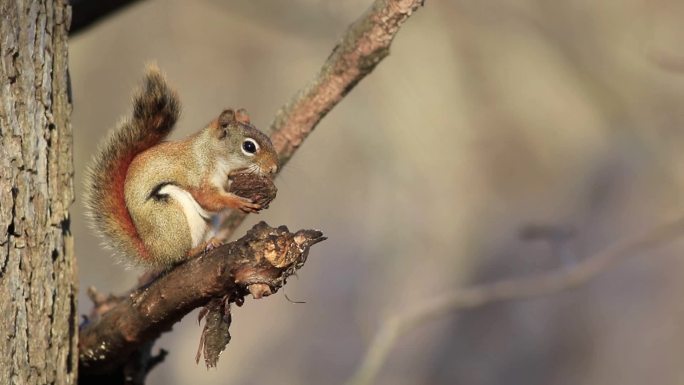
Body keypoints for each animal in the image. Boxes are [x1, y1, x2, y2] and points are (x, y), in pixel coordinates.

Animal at [83, 67, 278, 268]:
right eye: (249, 146)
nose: (273, 168)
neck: (211, 154)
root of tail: (155, 254)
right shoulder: (198, 175)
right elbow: (208, 198)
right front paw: (237, 202)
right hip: (170, 216)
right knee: (180, 257)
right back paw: (198, 249)